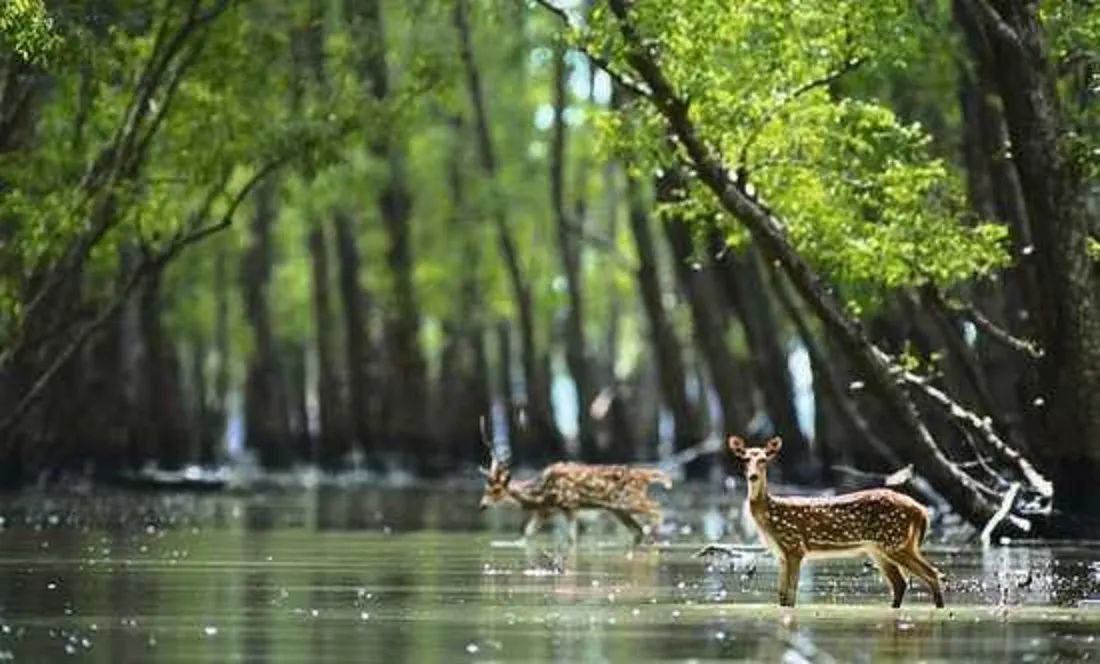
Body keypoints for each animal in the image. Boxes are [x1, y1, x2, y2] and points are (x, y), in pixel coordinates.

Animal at [479, 419, 673, 545]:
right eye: (485, 487)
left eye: (497, 490)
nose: (482, 505)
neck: (541, 494)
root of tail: (644, 475)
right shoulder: (545, 511)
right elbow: (526, 535)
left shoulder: (569, 504)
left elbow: (571, 539)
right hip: (619, 509)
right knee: (638, 531)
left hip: (628, 500)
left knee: (656, 508)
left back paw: (654, 535)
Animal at [721, 435, 946, 606]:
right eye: (744, 459)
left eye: (764, 459)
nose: (752, 476)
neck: (770, 516)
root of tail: (922, 511)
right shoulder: (781, 555)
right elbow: (782, 596)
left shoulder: (795, 547)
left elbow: (791, 595)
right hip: (880, 549)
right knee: (901, 583)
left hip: (896, 541)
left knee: (932, 574)